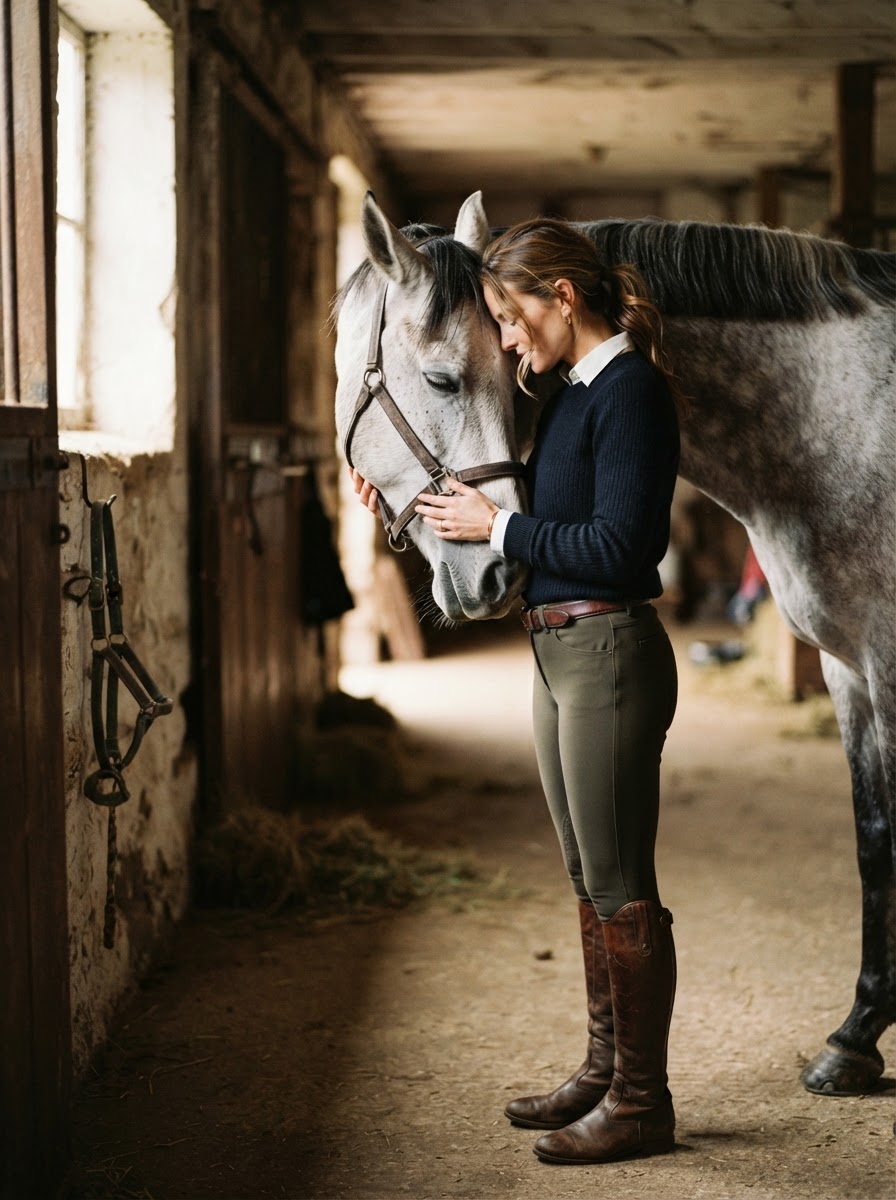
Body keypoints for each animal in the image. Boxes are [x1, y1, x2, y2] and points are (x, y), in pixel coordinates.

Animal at [332, 192, 895, 1098]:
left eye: (512, 378)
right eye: (448, 379)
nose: (496, 574)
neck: (837, 422)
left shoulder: (887, 663)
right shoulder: (850, 669)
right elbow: (874, 842)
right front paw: (856, 1038)